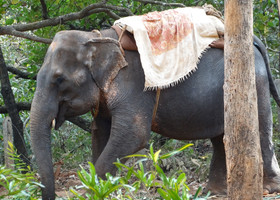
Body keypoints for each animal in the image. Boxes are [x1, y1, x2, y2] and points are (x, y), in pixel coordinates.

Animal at [29, 28, 280, 200]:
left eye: (59, 79)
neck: (97, 37)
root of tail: (255, 41)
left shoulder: (134, 85)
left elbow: (133, 135)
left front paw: (93, 191)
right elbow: (99, 133)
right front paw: (100, 188)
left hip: (254, 81)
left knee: (259, 127)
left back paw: (267, 189)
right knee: (221, 138)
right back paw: (215, 191)